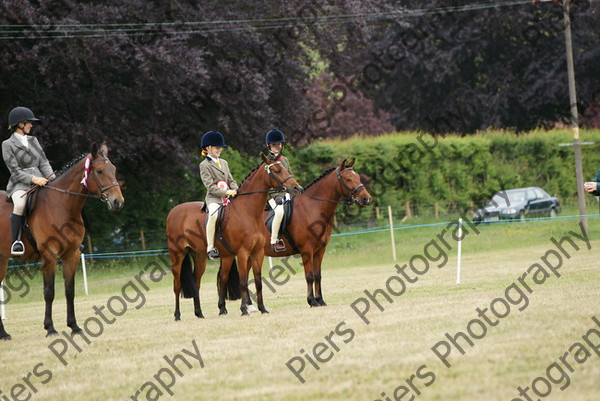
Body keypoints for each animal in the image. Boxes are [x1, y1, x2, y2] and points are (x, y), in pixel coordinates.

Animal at [0, 142, 123, 340]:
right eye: (99, 171)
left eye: (114, 169)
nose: (118, 202)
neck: (63, 205)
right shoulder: (49, 256)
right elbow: (49, 292)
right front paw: (50, 328)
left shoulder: (71, 255)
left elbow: (69, 291)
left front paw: (74, 326)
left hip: (2, 260)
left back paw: (4, 334)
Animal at [166, 154, 302, 318]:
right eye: (277, 170)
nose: (297, 188)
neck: (248, 212)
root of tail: (174, 210)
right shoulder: (243, 253)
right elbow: (243, 282)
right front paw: (244, 309)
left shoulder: (257, 253)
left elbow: (258, 282)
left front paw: (262, 308)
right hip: (177, 255)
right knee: (177, 285)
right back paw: (177, 315)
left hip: (199, 256)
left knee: (196, 282)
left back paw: (199, 313)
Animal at [218, 157, 370, 310]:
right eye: (348, 178)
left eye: (357, 177)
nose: (366, 199)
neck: (313, 207)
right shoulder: (307, 250)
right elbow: (309, 276)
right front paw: (312, 301)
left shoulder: (320, 250)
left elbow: (318, 275)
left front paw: (320, 300)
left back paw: (248, 305)